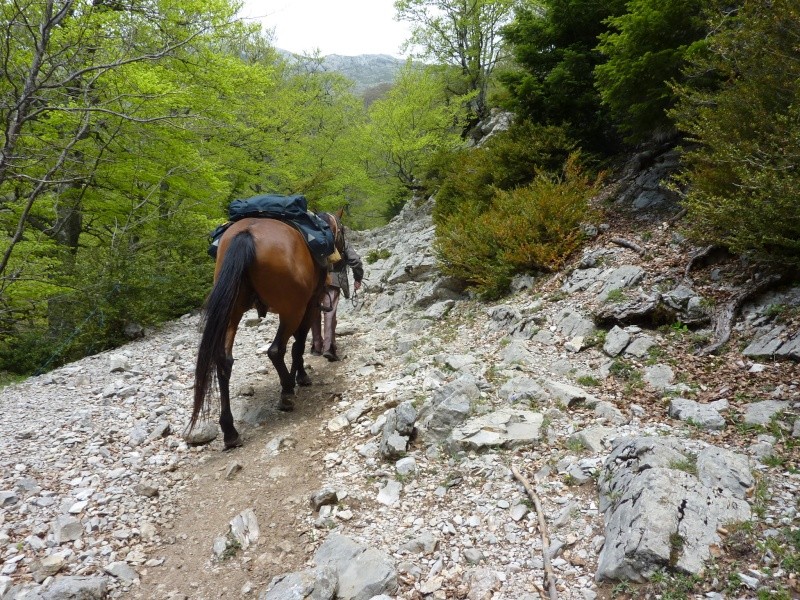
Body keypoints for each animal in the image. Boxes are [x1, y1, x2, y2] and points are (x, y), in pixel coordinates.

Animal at [191, 214, 340, 446]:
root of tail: (247, 234)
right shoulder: (310, 306)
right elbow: (298, 345)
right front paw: (301, 377)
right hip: (292, 311)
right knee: (276, 350)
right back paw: (286, 392)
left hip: (232, 312)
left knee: (224, 360)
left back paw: (230, 431)